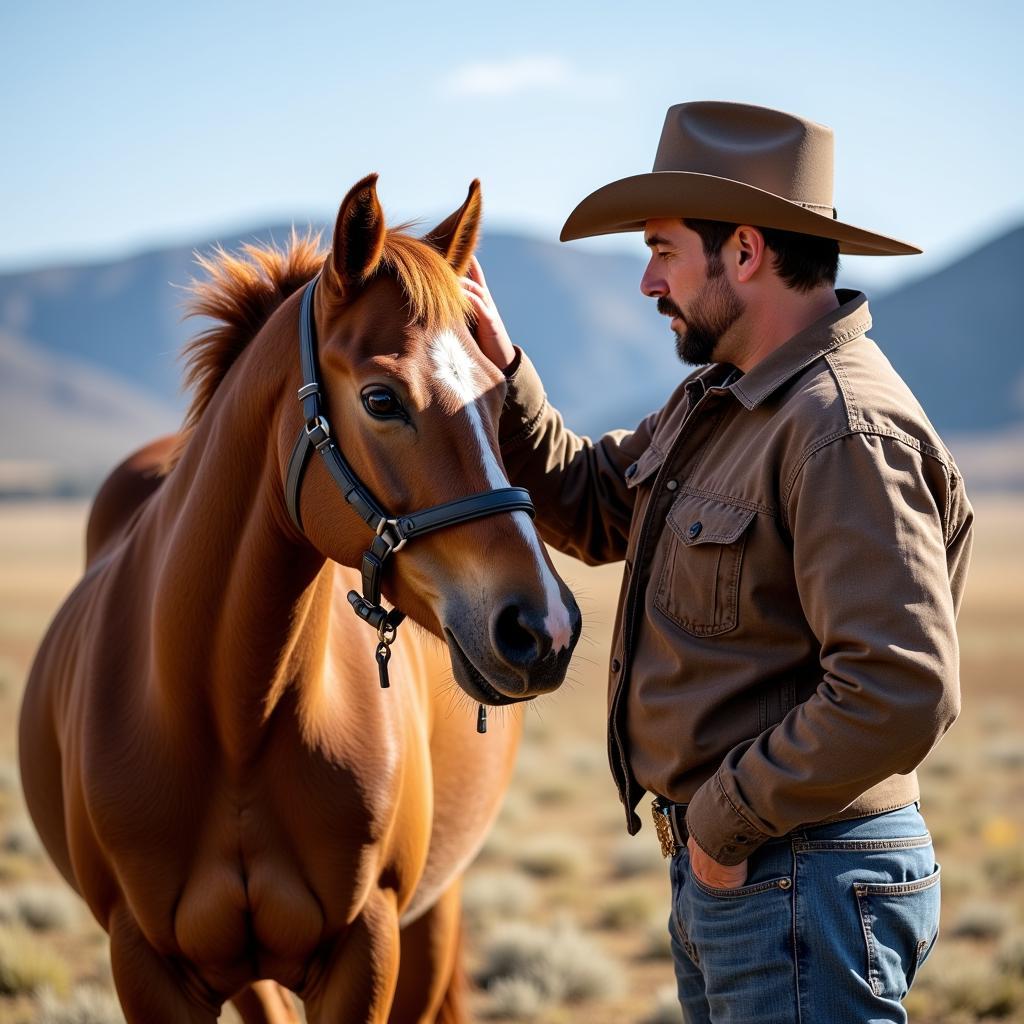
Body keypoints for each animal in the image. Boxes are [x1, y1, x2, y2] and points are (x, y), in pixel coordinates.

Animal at [19, 178, 581, 1024]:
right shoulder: (147, 965)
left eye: (499, 399)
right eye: (381, 399)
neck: (231, 719)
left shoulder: (367, 947)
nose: (542, 628)